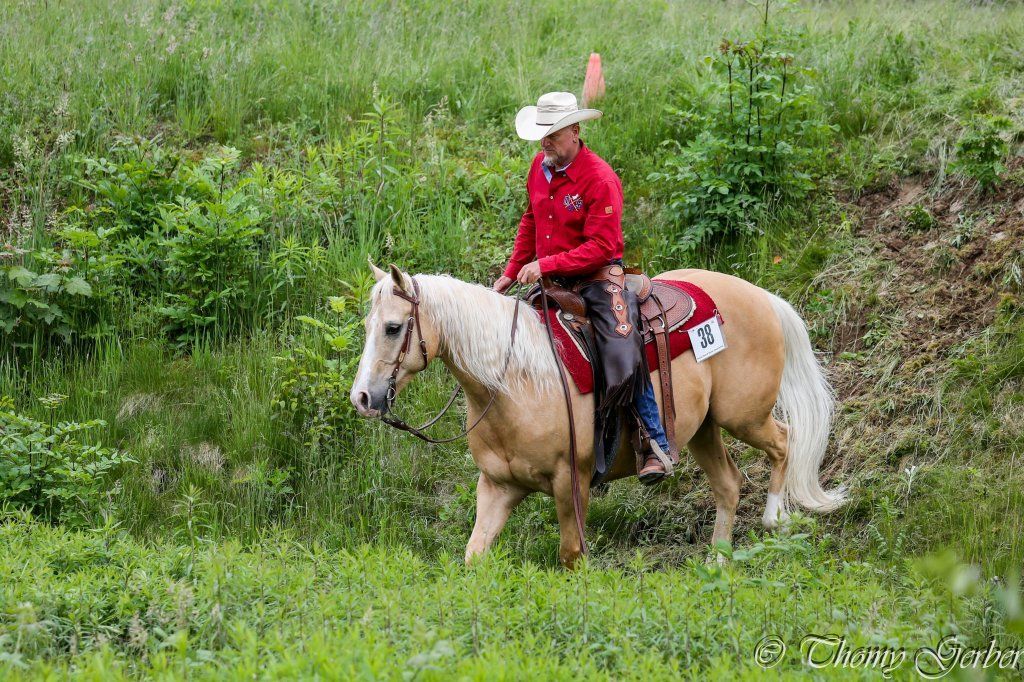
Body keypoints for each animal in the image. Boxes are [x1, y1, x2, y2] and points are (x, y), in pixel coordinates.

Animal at [350, 262, 846, 568]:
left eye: (393, 327)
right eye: (368, 326)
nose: (362, 398)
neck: (516, 382)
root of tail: (761, 295)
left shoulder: (571, 481)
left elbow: (572, 554)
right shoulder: (497, 486)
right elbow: (475, 554)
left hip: (743, 415)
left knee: (784, 441)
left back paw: (775, 519)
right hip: (703, 428)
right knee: (729, 483)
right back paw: (719, 562)